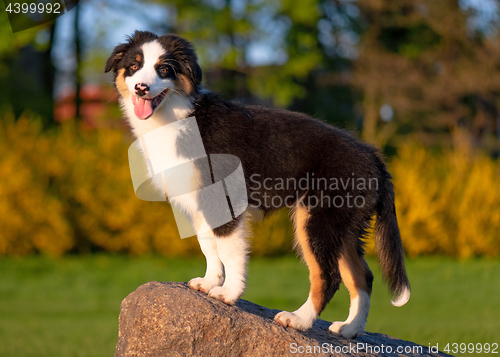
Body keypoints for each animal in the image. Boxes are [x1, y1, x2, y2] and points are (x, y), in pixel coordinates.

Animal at [105, 29, 410, 336]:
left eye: (164, 69)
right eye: (134, 66)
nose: (141, 88)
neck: (177, 117)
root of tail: (372, 155)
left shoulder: (223, 199)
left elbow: (229, 249)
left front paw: (227, 294)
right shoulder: (199, 202)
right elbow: (208, 245)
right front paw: (208, 282)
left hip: (318, 220)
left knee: (328, 275)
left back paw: (298, 320)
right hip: (343, 225)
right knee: (362, 276)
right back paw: (349, 329)